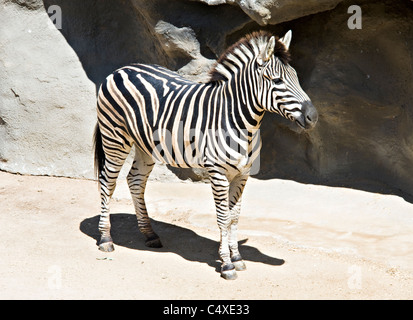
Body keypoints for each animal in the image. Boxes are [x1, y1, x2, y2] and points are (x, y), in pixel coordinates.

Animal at [94, 30, 318, 280]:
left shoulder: (242, 174)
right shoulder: (218, 173)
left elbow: (234, 216)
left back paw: (150, 234)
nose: (313, 117)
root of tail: (121, 69)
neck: (239, 120)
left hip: (146, 147)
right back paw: (105, 239)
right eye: (277, 81)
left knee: (135, 180)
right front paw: (227, 264)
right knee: (107, 181)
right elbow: (222, 217)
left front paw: (237, 257)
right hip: (115, 138)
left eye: (296, 77)